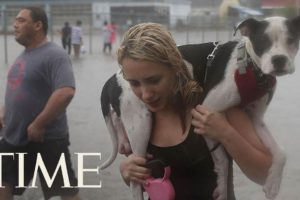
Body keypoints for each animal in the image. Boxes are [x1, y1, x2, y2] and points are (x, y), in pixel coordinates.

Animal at [100, 16, 300, 200]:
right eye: (262, 41)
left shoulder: (255, 119)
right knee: (136, 179)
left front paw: (273, 184)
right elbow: (222, 159)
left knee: (117, 118)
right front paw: (222, 186)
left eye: (291, 40)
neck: (249, 67)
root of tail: (114, 77)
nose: (279, 60)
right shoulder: (206, 110)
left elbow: (281, 152)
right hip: (141, 125)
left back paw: (123, 140)